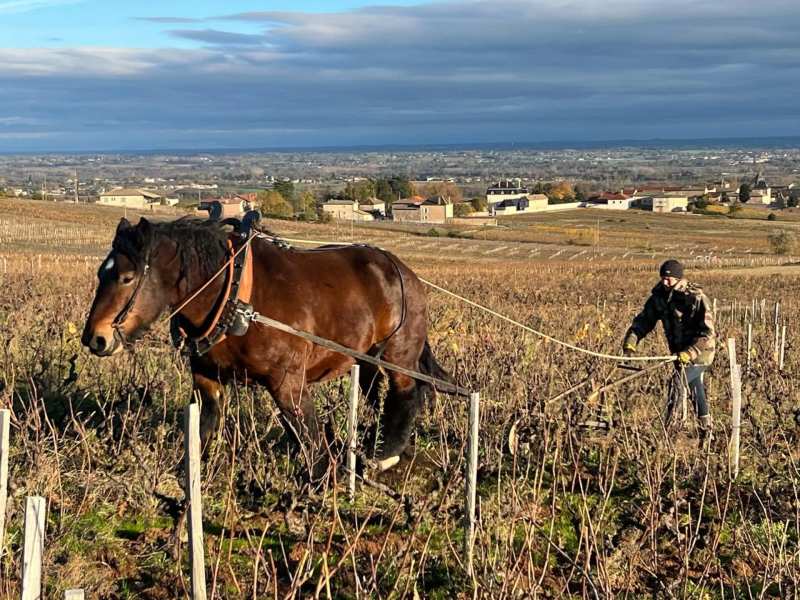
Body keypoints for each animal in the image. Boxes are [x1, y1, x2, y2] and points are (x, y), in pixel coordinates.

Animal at [83, 216, 456, 474]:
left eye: (127, 277)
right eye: (102, 273)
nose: (95, 338)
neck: (233, 295)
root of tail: (401, 271)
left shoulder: (288, 382)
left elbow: (310, 437)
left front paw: (321, 486)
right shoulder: (206, 378)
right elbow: (204, 429)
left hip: (399, 354)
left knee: (406, 394)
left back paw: (385, 455)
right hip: (366, 359)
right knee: (380, 396)